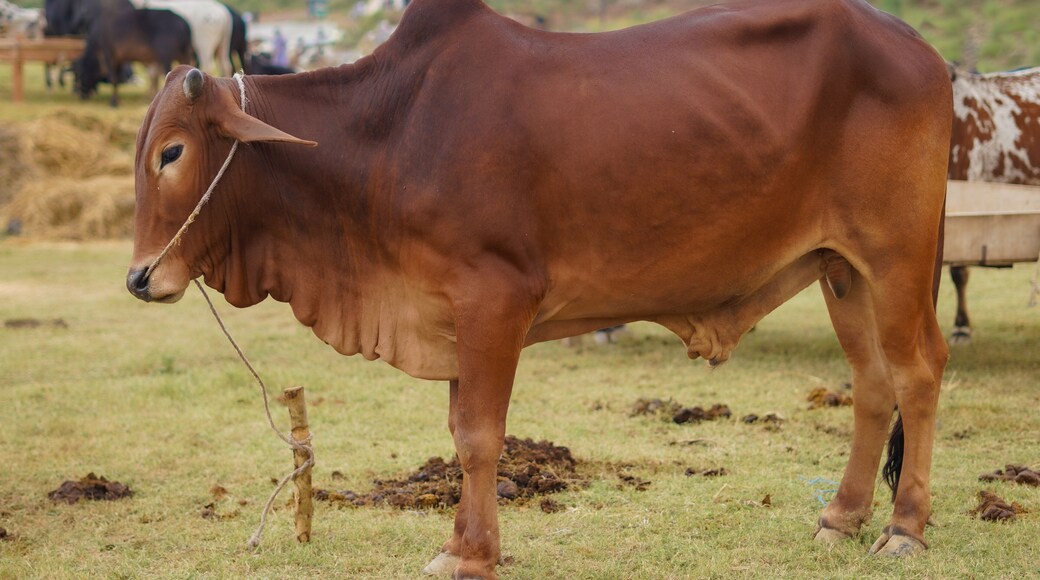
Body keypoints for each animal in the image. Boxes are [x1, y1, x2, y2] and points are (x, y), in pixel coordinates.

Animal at [126, 0, 951, 577]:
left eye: (173, 152)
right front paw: (460, 543)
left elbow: (479, 437)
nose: (139, 277)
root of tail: (920, 49)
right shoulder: (451, 316)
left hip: (897, 256)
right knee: (871, 383)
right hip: (841, 268)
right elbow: (457, 434)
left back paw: (903, 530)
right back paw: (842, 517)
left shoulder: (495, 299)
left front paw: (472, 555)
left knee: (917, 372)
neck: (388, 137)